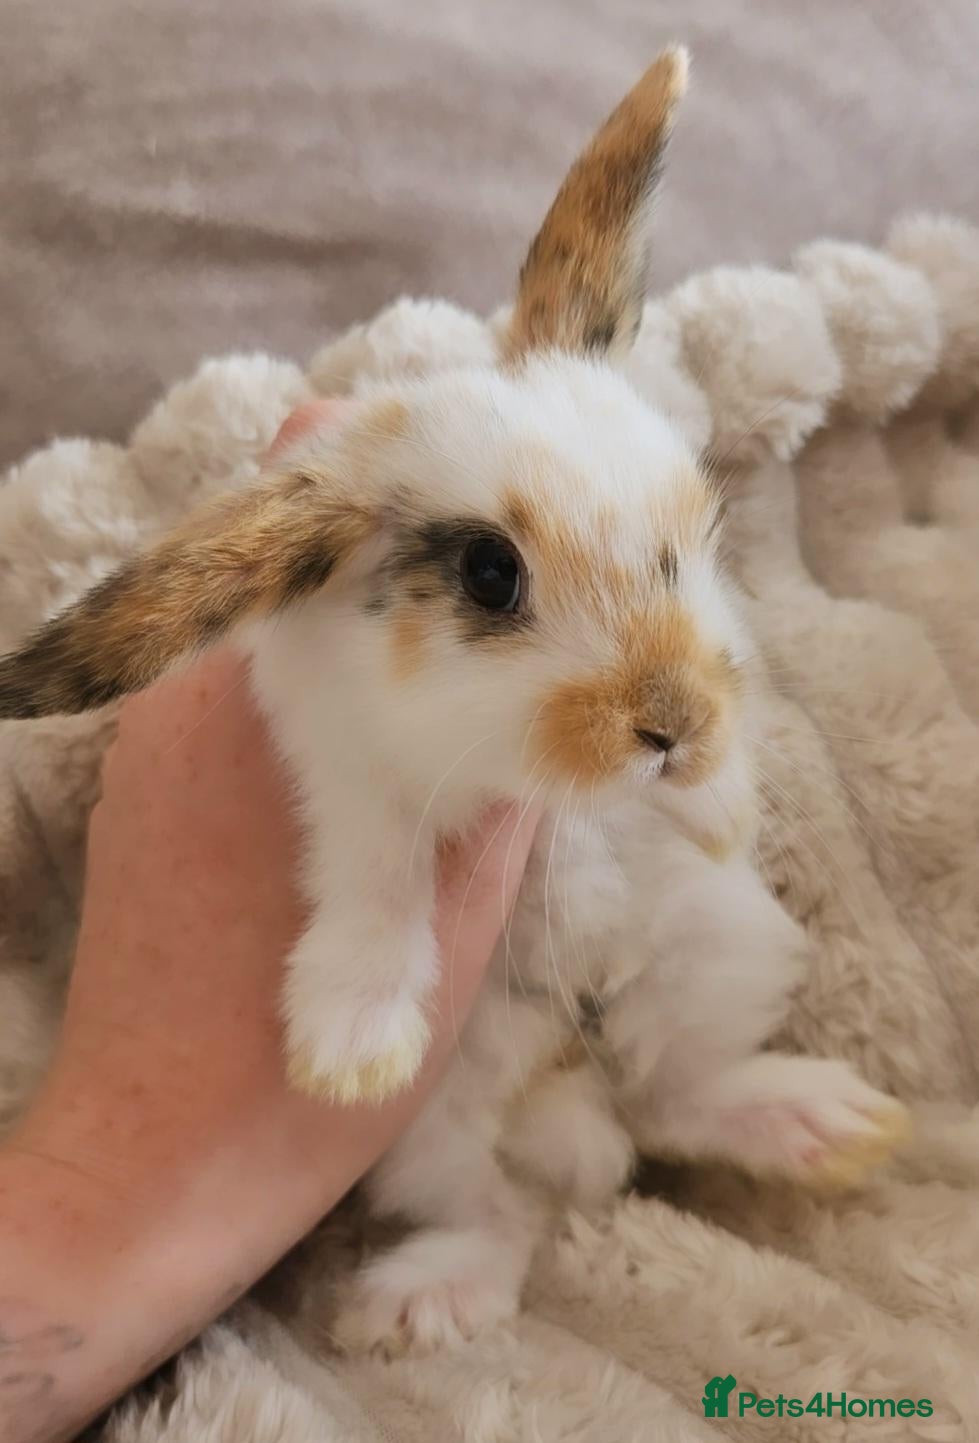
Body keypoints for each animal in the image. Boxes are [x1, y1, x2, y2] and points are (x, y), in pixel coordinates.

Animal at [0, 48, 908, 1354]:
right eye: (489, 573)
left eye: (683, 544)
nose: (670, 728)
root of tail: (576, 1117)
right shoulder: (338, 762)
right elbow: (375, 874)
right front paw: (348, 1045)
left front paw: (719, 809)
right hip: (436, 1138)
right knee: (515, 1218)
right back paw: (421, 1297)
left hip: (711, 961)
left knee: (674, 1105)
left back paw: (822, 1123)